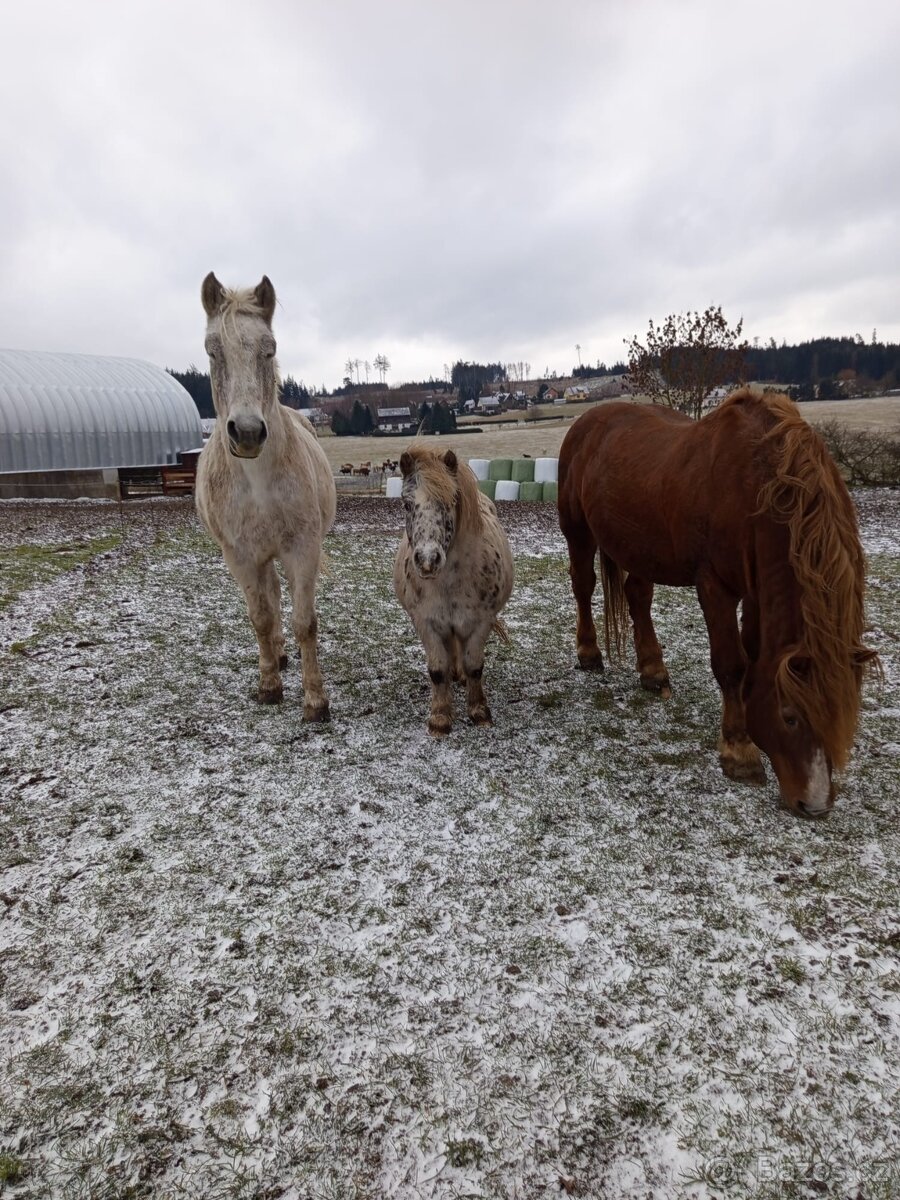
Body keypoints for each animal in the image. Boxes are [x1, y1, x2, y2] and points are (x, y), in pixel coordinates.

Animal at [195, 273, 336, 720]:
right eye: (212, 351)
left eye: (268, 349)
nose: (247, 432)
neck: (258, 484)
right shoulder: (240, 556)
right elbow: (260, 617)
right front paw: (269, 685)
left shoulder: (302, 549)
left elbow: (305, 622)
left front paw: (315, 700)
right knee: (270, 602)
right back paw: (277, 656)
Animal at [393, 447, 514, 735]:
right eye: (406, 504)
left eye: (452, 501)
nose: (428, 560)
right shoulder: (427, 622)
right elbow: (438, 670)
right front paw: (439, 718)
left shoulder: (481, 621)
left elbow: (474, 666)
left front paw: (479, 712)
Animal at [557, 388, 878, 817]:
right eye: (790, 717)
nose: (814, 805)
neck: (756, 486)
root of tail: (587, 421)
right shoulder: (714, 586)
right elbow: (731, 664)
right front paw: (739, 750)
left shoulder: (756, 590)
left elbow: (754, 655)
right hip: (577, 532)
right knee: (584, 586)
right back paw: (589, 652)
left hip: (640, 547)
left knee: (638, 597)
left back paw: (653, 670)